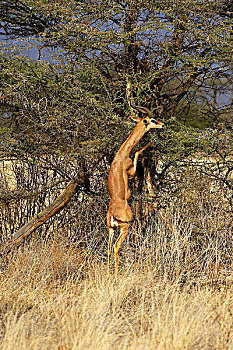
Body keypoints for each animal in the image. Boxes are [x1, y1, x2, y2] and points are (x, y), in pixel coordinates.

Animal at [107, 106, 163, 274]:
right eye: (152, 120)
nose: (162, 124)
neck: (122, 154)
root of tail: (113, 215)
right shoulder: (131, 172)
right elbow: (137, 152)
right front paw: (149, 142)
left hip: (110, 230)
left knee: (108, 248)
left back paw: (108, 273)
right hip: (125, 228)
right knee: (116, 247)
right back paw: (116, 274)